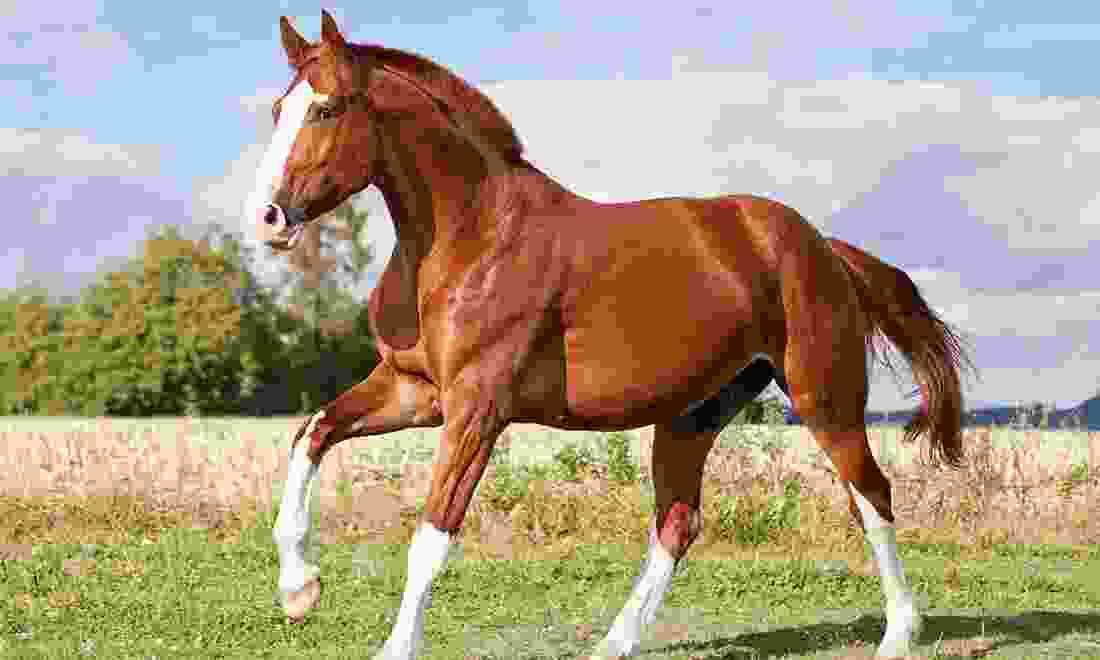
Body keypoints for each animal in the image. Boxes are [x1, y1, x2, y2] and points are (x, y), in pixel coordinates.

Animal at [248, 11, 973, 659]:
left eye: (326, 109)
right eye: (280, 108)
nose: (269, 218)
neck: (469, 236)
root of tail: (824, 247)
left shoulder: (476, 409)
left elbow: (432, 535)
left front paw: (393, 646)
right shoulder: (413, 391)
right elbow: (311, 434)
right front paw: (299, 591)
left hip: (824, 400)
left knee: (871, 498)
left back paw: (898, 637)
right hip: (693, 415)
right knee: (678, 522)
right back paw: (612, 643)